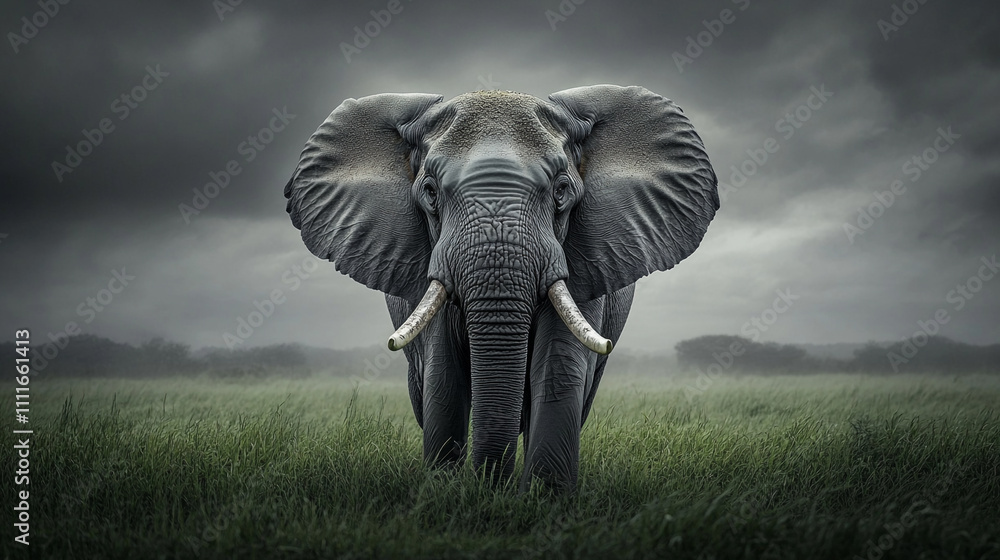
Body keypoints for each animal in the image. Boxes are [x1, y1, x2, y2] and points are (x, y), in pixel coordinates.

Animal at [284, 85, 719, 491]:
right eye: (430, 192)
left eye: (561, 190)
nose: (490, 485)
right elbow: (443, 374)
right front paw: (446, 491)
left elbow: (558, 368)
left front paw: (543, 497)